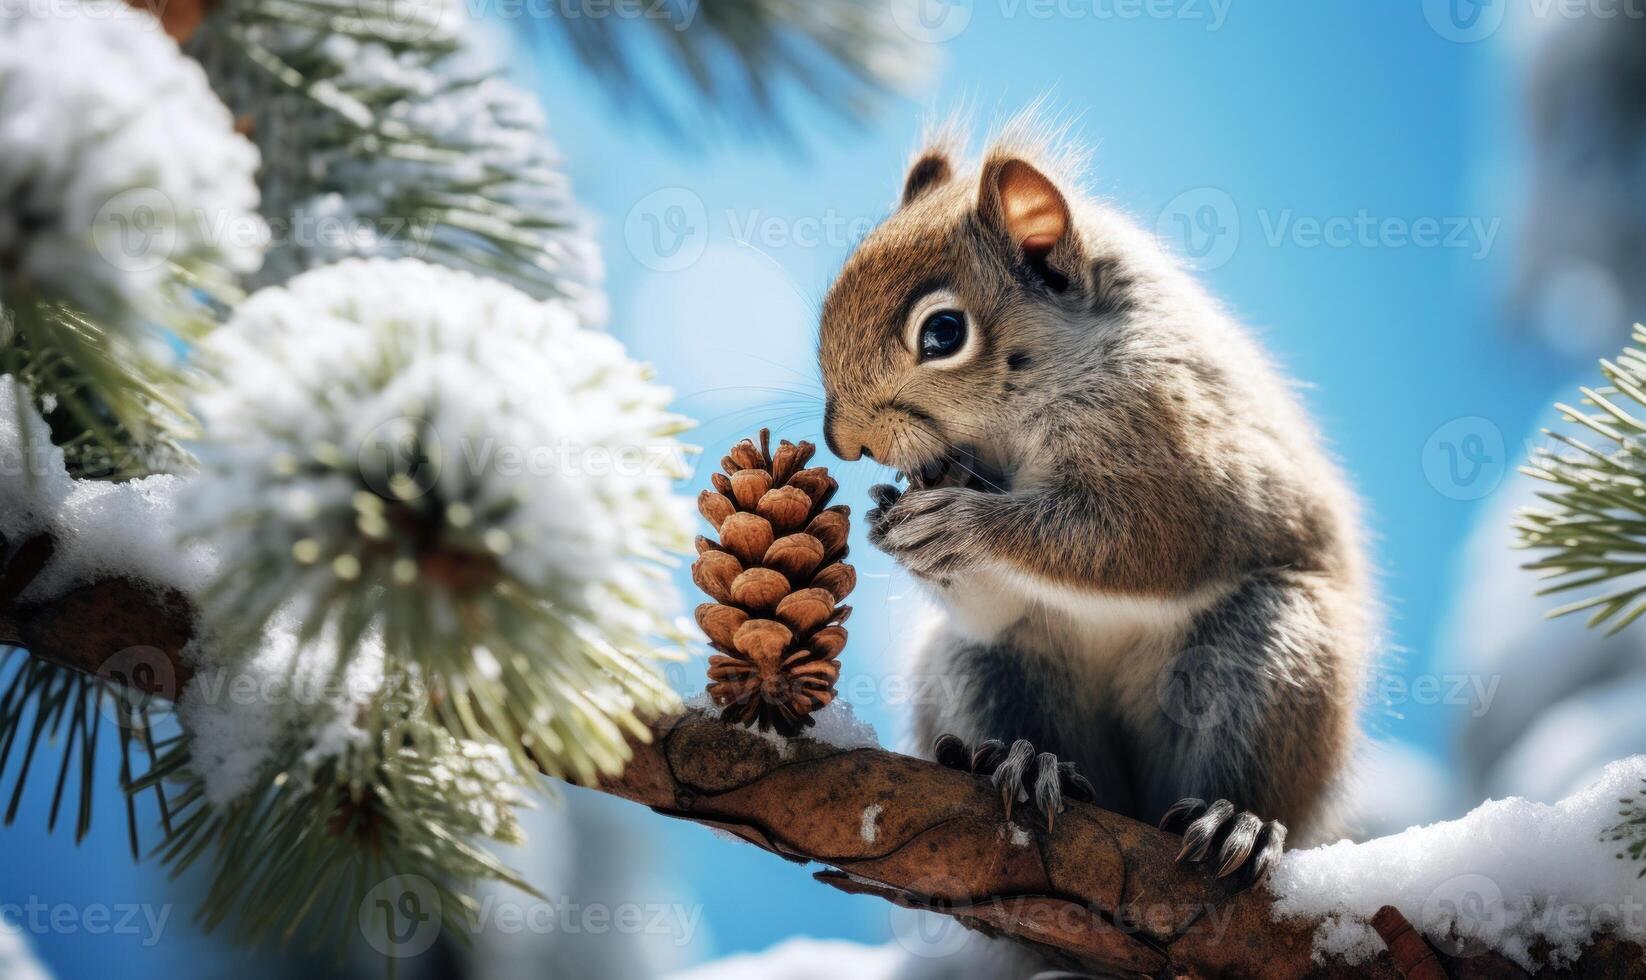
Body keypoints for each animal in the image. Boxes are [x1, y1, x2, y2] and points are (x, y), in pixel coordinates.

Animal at [816, 118, 1369, 896]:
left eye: (943, 333)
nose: (843, 442)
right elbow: (995, 601)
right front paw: (890, 523)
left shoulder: (1180, 447)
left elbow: (1141, 541)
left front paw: (964, 525)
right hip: (987, 670)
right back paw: (1022, 762)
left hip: (1276, 659)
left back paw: (1237, 819)